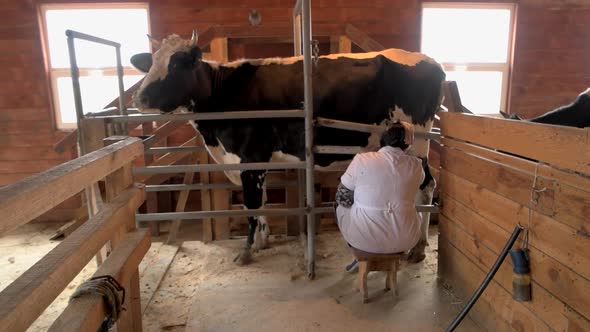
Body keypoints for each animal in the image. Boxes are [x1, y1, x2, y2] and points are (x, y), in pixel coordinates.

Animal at [132, 33, 446, 264]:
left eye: (176, 65)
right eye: (151, 63)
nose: (140, 97)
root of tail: (431, 62)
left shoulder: (250, 157)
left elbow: (251, 204)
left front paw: (247, 251)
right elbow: (259, 202)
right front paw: (263, 240)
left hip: (416, 142)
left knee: (427, 186)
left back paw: (418, 247)